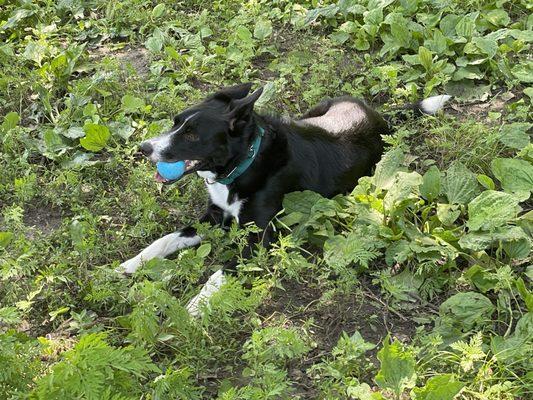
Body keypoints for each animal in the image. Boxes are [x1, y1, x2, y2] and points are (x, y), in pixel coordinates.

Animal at [117, 84, 448, 316]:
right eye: (175, 123)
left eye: (192, 136)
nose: (143, 148)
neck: (245, 163)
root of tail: (378, 116)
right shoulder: (213, 217)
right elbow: (165, 240)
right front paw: (130, 265)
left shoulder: (258, 240)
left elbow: (219, 272)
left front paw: (199, 305)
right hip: (312, 113)